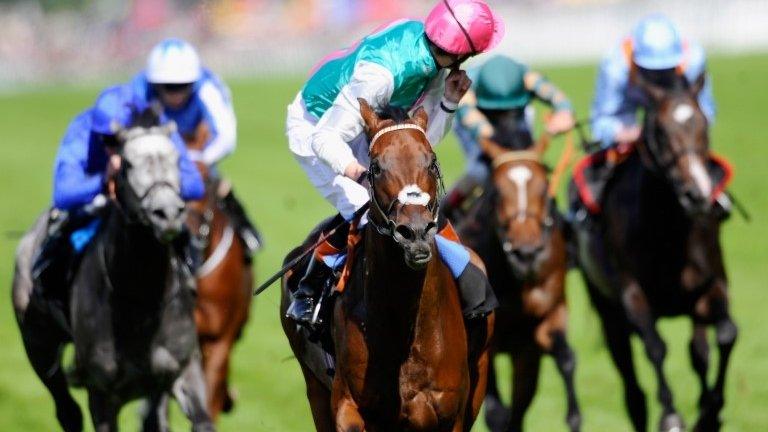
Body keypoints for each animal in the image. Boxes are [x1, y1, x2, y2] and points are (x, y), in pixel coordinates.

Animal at [280, 99, 492, 430]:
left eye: (431, 161)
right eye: (377, 167)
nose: (415, 232)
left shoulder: (451, 412)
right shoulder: (347, 403)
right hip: (314, 387)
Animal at [448, 137, 580, 430]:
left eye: (544, 188)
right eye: (497, 193)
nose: (526, 253)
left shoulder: (548, 318)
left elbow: (566, 357)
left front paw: (574, 415)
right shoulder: (490, 338)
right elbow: (496, 412)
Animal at [568, 74, 736, 432]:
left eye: (703, 123)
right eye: (660, 130)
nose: (696, 194)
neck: (669, 229)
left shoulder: (712, 284)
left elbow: (727, 334)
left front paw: (711, 412)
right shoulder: (632, 294)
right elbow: (656, 348)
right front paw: (671, 416)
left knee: (699, 352)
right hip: (607, 309)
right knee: (631, 385)